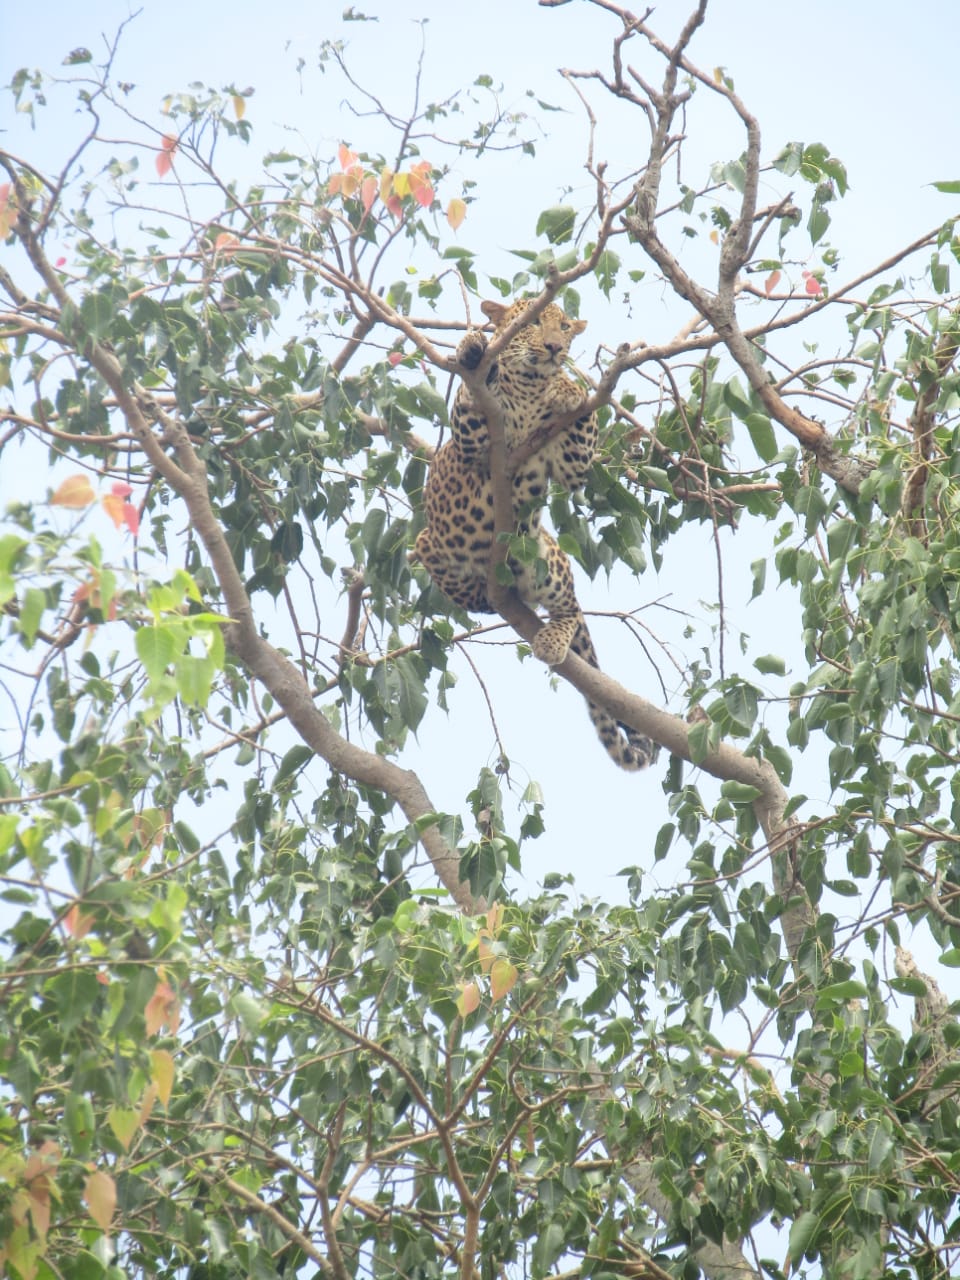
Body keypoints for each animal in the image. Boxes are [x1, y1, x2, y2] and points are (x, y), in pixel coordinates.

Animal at [409, 296, 660, 768]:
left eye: (564, 327)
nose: (554, 348)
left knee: (572, 608)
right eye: (533, 322)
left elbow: (581, 438)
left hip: (546, 558)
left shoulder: (570, 466)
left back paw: (552, 637)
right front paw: (473, 348)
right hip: (427, 542)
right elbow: (470, 399)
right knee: (465, 589)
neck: (528, 387)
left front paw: (568, 390)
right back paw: (483, 593)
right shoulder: (472, 441)